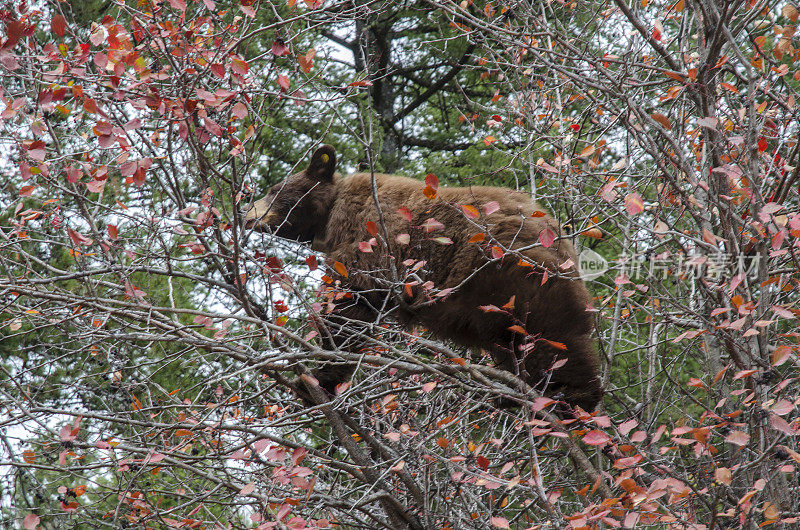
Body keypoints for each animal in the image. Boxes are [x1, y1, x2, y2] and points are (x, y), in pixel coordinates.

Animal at [247, 145, 604, 412]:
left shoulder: (369, 244)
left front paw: (317, 379)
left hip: (514, 278)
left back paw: (571, 397)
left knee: (550, 337)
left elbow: (348, 308)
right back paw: (514, 395)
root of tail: (560, 237)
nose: (247, 211)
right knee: (516, 342)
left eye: (273, 190)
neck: (331, 217)